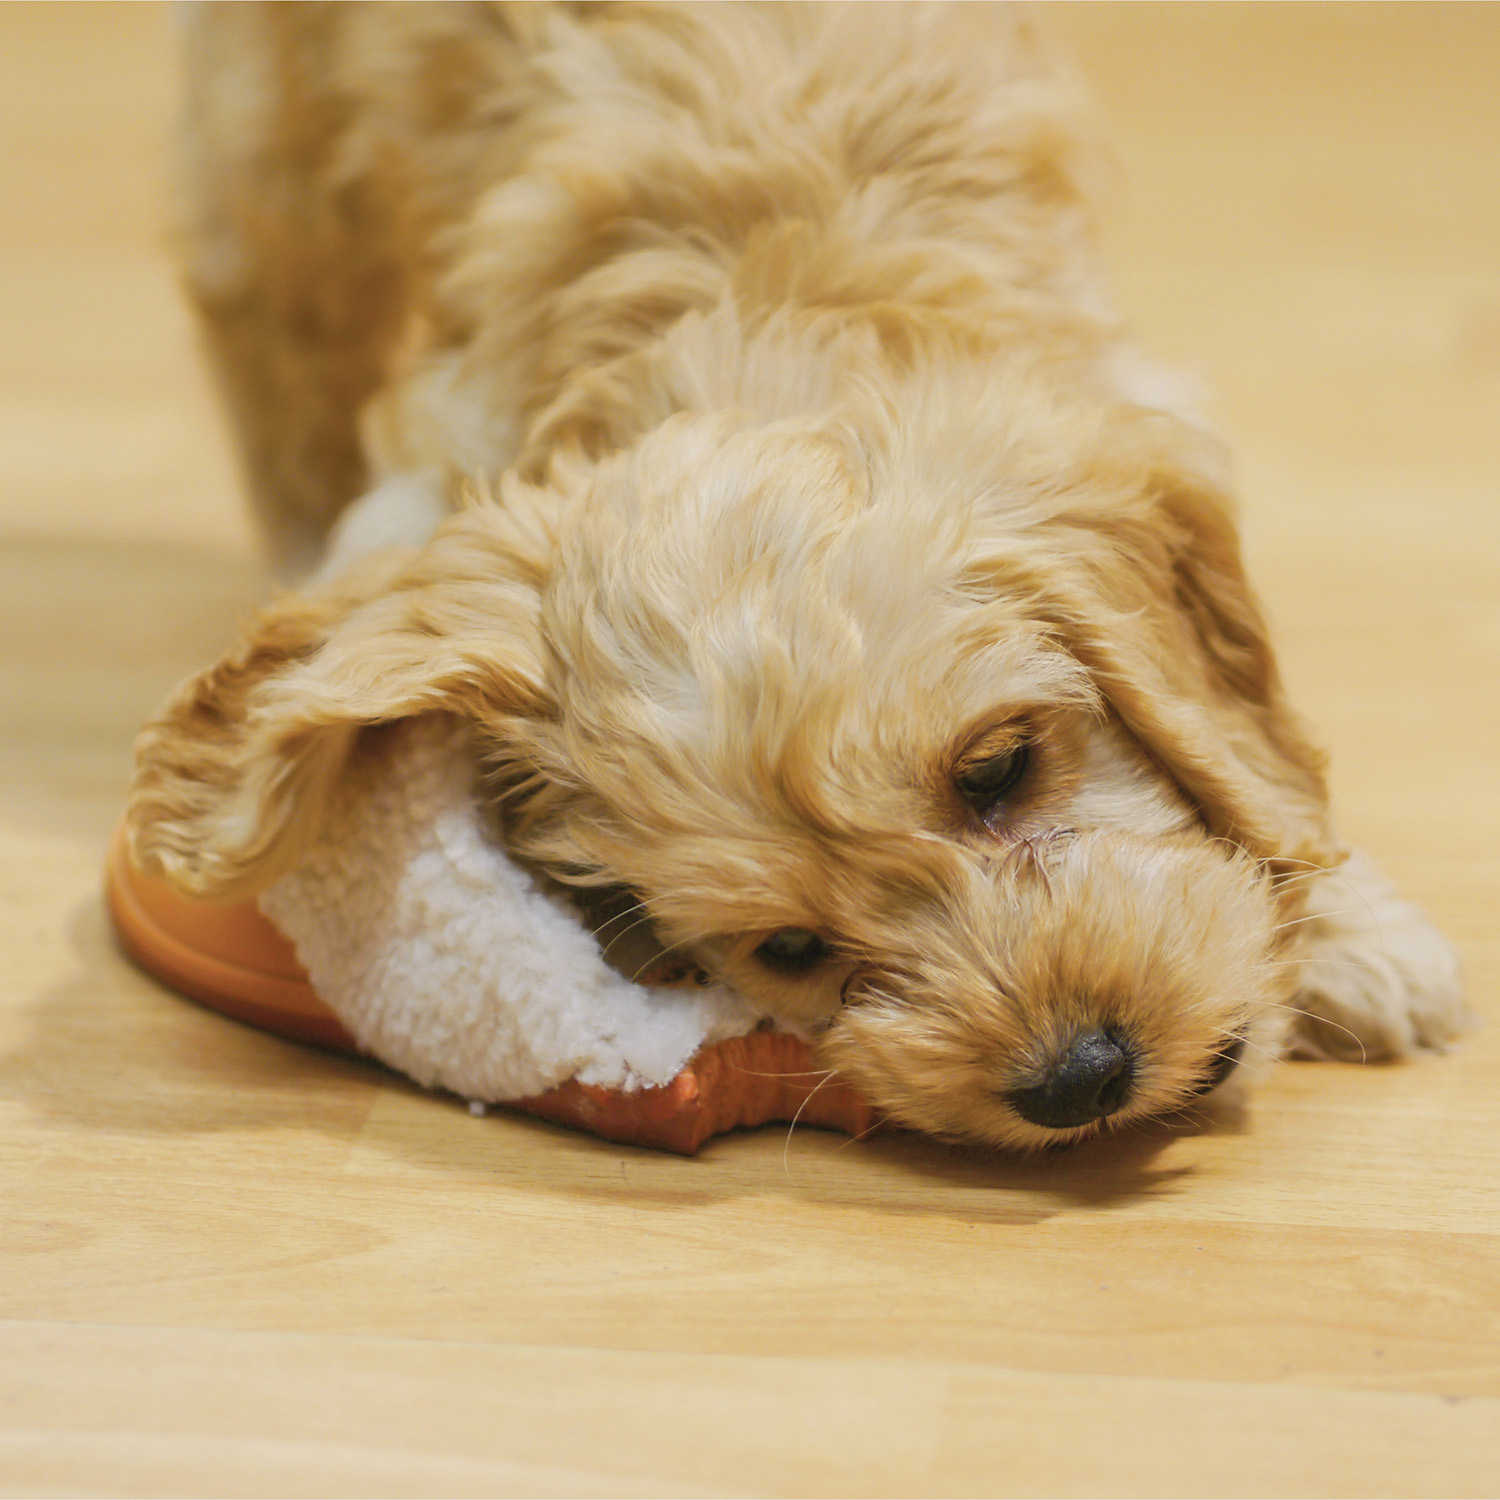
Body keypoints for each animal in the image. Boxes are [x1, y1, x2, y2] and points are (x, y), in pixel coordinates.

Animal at [126, 2, 1464, 1146]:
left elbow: (1252, 750)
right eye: (786, 951)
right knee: (267, 337)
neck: (773, 298)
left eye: (998, 768)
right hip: (274, 149)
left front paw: (1362, 938)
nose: (1081, 1077)